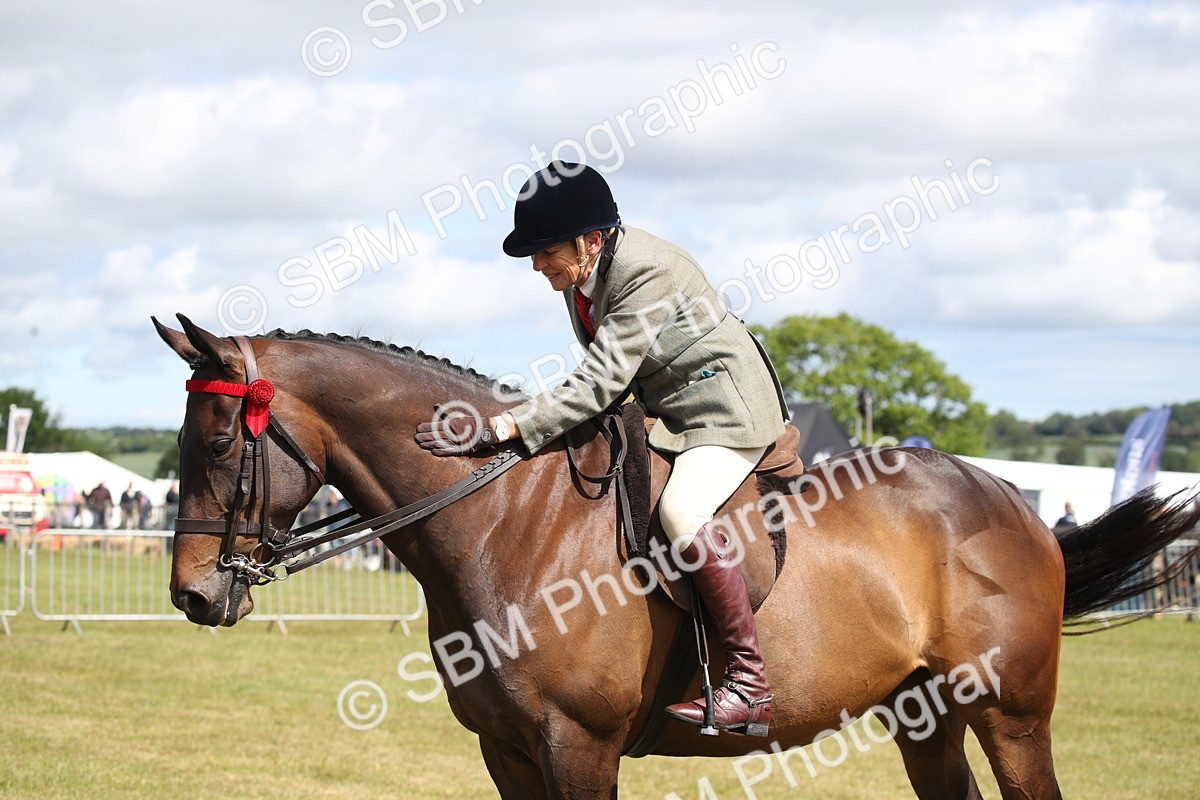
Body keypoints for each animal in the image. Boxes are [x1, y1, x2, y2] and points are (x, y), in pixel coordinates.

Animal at [153, 314, 1200, 800]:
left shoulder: (578, 745)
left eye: (217, 442)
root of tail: (1014, 506)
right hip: (925, 716)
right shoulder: (507, 751)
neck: (501, 519)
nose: (194, 597)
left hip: (1010, 714)